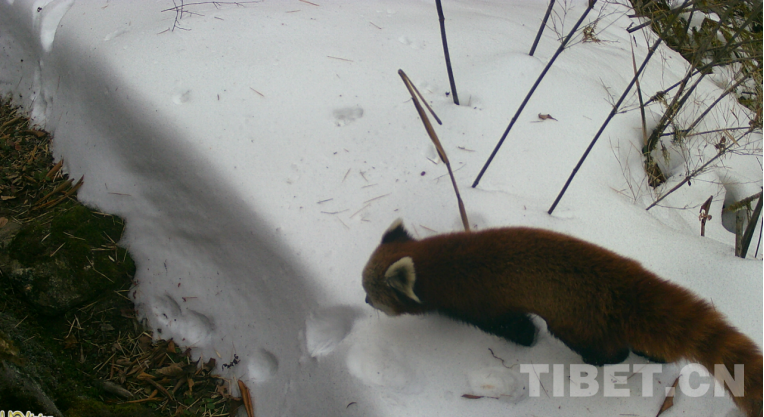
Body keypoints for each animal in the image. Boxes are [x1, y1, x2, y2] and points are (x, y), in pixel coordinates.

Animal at [362, 219, 760, 414]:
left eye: (371, 294)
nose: (364, 300)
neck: (439, 263)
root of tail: (625, 282)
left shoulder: (482, 302)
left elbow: (514, 327)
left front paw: (525, 338)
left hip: (577, 319)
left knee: (607, 348)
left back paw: (601, 360)